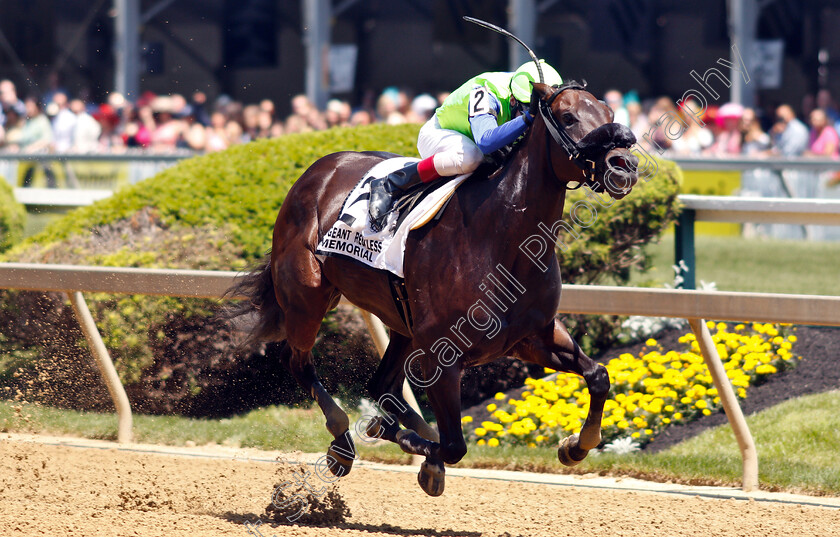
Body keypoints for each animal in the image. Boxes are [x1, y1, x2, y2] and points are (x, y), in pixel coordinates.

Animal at [230, 81, 636, 496]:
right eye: (568, 117)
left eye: (608, 112)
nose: (624, 165)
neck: (502, 240)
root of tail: (319, 170)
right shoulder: (443, 354)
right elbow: (454, 444)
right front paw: (418, 454)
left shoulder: (532, 336)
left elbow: (599, 376)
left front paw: (575, 446)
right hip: (308, 297)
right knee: (298, 362)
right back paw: (344, 441)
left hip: (402, 326)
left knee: (380, 386)